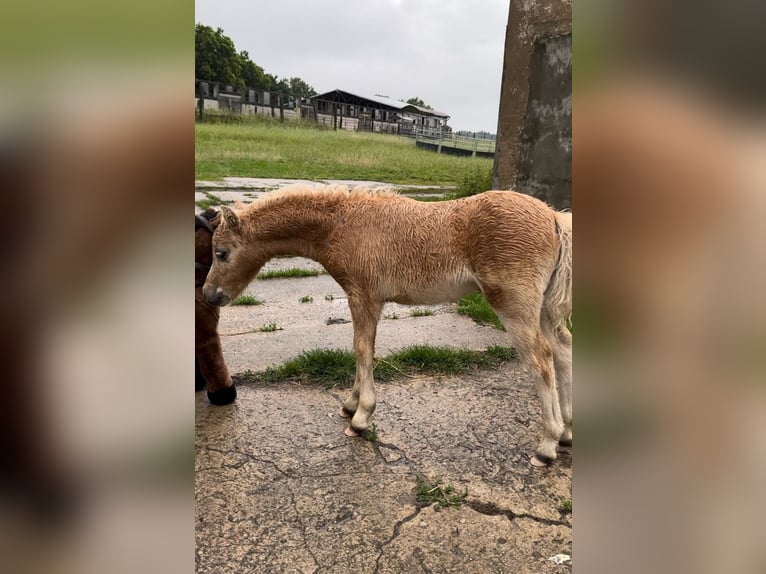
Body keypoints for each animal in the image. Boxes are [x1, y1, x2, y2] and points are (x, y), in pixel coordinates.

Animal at [201, 187, 572, 470]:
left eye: (221, 253)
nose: (209, 294)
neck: (342, 224)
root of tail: (554, 218)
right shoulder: (366, 299)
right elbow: (363, 349)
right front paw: (350, 404)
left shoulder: (363, 296)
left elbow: (362, 349)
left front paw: (360, 417)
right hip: (542, 308)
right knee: (564, 349)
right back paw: (567, 432)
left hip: (513, 305)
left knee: (541, 359)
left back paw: (547, 445)